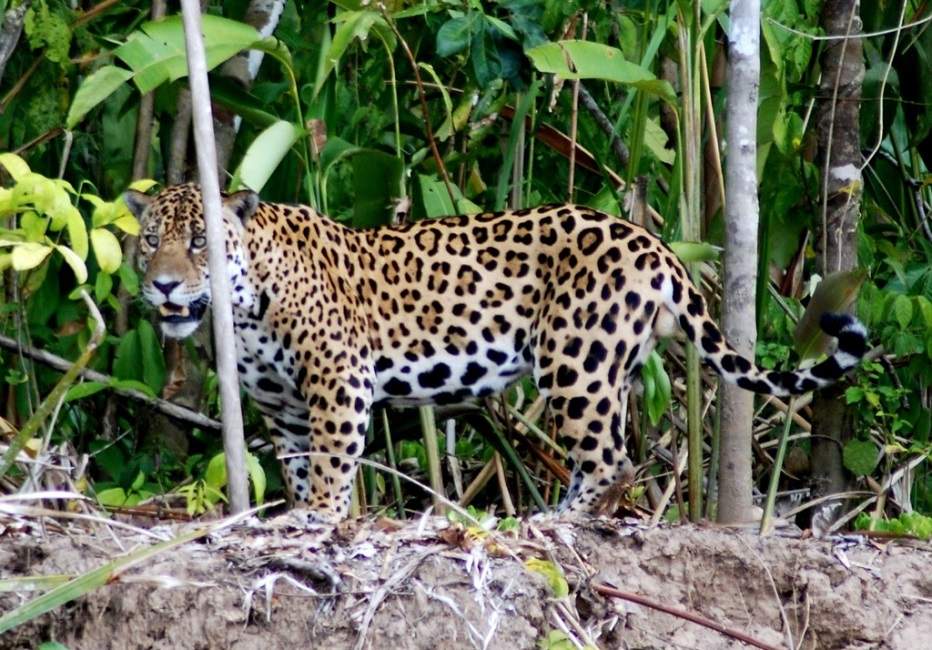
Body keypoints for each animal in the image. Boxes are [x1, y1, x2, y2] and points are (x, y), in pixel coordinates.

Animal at [125, 183, 868, 522]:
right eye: (151, 239)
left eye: (200, 243)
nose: (163, 284)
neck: (246, 307)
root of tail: (655, 245)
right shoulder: (283, 409)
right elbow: (303, 467)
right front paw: (304, 515)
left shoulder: (339, 381)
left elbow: (335, 466)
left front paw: (324, 520)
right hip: (610, 369)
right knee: (607, 455)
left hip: (575, 363)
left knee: (613, 462)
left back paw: (558, 521)